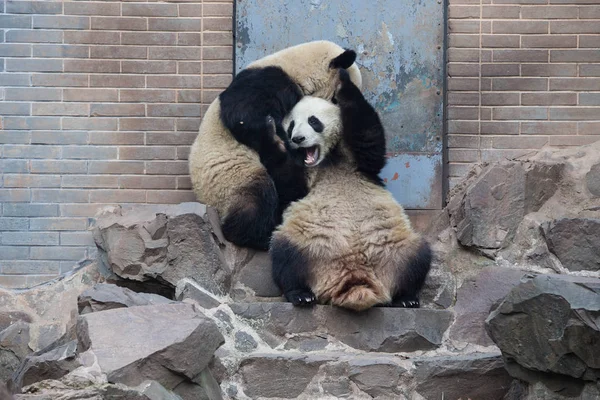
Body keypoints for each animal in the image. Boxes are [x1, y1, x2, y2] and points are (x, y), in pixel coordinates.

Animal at [190, 39, 364, 250]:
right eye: (336, 99)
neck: (298, 67)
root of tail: (204, 200)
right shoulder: (269, 80)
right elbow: (243, 114)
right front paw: (277, 139)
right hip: (230, 177)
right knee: (257, 198)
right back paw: (259, 235)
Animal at [270, 69, 432, 312]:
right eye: (291, 126)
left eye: (313, 121)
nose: (297, 138)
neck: (328, 160)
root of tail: (355, 277)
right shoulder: (303, 180)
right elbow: (288, 188)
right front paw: (272, 133)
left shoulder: (358, 162)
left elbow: (369, 138)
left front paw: (343, 79)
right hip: (308, 244)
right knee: (285, 256)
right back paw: (300, 295)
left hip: (395, 247)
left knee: (418, 257)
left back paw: (407, 298)